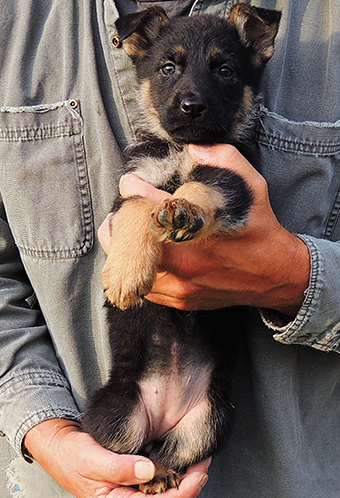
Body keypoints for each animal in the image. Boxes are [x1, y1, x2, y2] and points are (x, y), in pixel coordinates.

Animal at [83, 5, 280, 496]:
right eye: (168, 68)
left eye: (225, 71)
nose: (193, 106)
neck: (185, 145)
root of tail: (162, 415)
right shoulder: (134, 181)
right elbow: (139, 206)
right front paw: (126, 273)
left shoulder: (237, 180)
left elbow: (202, 182)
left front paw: (183, 208)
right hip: (117, 415)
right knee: (134, 452)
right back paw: (148, 476)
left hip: (212, 418)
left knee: (169, 451)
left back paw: (163, 471)